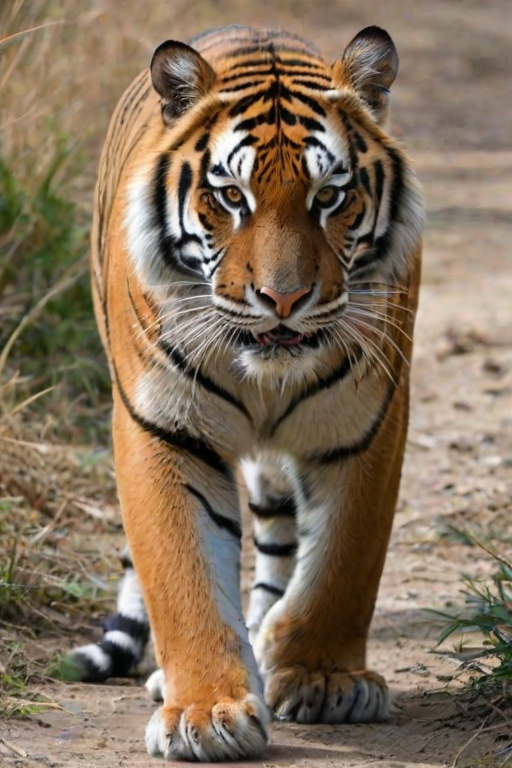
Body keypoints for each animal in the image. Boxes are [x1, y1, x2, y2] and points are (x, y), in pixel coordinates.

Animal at [68, 24, 424, 762]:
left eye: (329, 196)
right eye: (232, 197)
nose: (283, 299)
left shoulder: (369, 422)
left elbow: (344, 561)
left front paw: (322, 678)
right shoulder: (163, 427)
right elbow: (182, 574)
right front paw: (205, 713)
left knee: (281, 538)